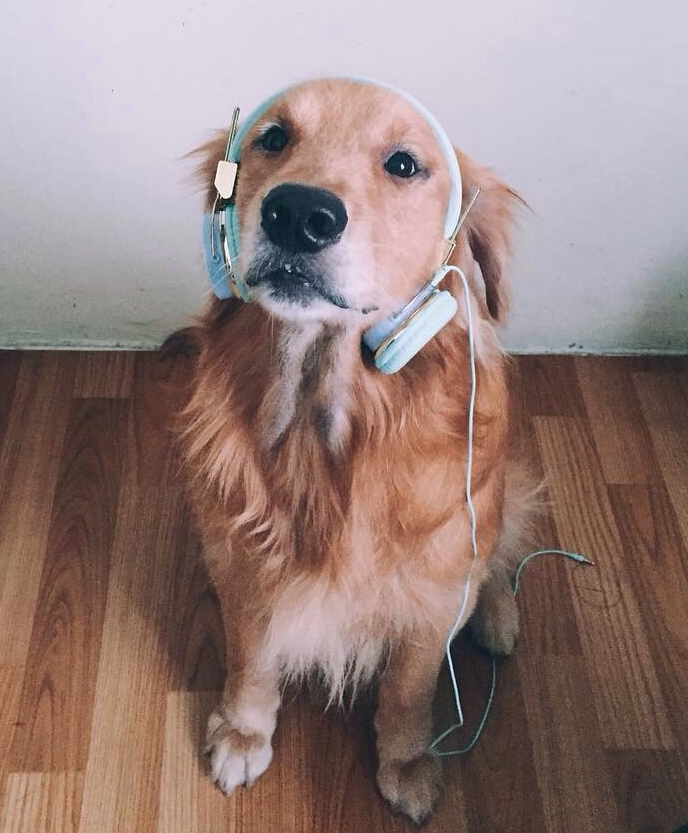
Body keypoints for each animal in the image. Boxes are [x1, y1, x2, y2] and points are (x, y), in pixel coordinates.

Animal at [177, 77, 533, 824]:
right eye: (273, 137)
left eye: (403, 164)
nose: (298, 214)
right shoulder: (243, 563)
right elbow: (251, 660)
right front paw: (243, 732)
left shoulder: (433, 590)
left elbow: (408, 689)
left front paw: (408, 763)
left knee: (498, 555)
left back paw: (496, 615)